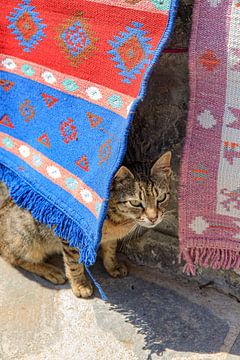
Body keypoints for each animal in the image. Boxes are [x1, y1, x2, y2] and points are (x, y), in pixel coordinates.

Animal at [0, 150, 172, 296]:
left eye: (161, 198)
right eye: (135, 203)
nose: (153, 218)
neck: (118, 220)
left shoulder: (110, 239)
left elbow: (110, 250)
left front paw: (113, 266)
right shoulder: (72, 234)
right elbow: (73, 262)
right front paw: (80, 284)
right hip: (28, 236)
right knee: (12, 256)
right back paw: (50, 270)